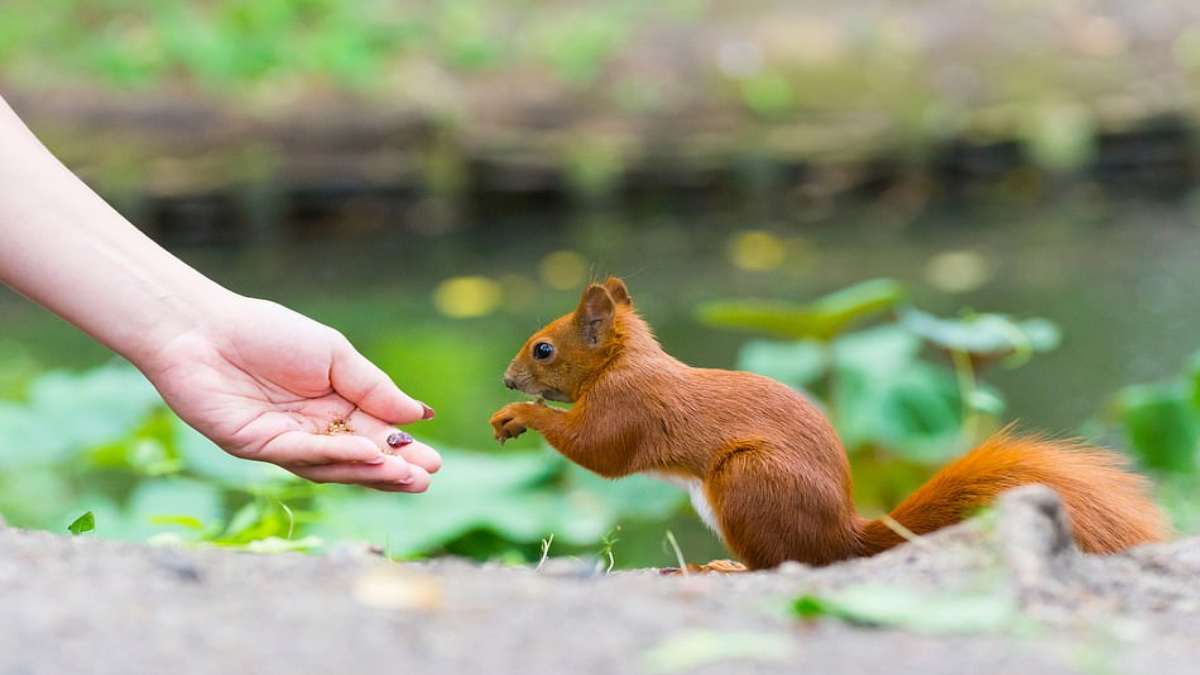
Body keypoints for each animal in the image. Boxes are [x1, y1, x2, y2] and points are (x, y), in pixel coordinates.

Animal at [484, 277, 1161, 566]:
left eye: (543, 349)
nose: (508, 380)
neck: (626, 361)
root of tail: (843, 537)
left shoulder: (628, 407)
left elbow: (599, 453)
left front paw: (520, 414)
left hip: (746, 481)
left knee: (787, 566)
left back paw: (724, 566)